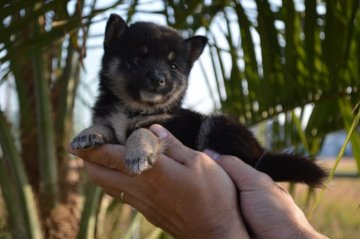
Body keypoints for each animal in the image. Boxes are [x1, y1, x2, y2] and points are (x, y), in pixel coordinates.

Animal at [70, 14, 326, 188]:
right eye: (137, 60)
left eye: (174, 67)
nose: (159, 80)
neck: (134, 109)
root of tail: (262, 155)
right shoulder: (112, 122)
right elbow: (105, 125)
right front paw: (87, 133)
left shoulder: (170, 127)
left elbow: (144, 131)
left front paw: (138, 153)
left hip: (219, 123)